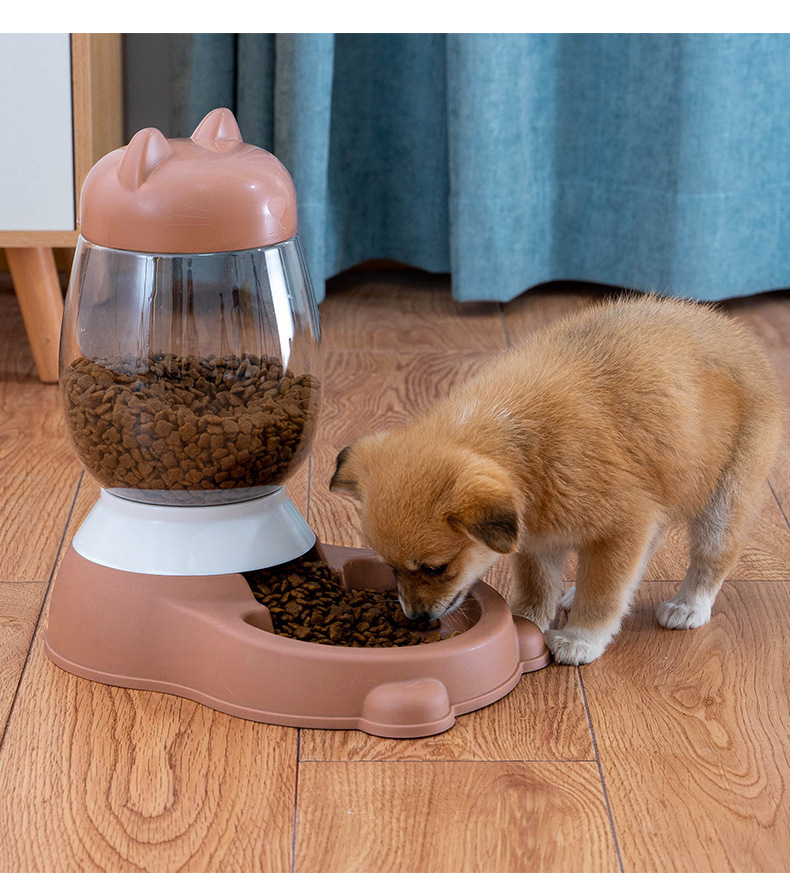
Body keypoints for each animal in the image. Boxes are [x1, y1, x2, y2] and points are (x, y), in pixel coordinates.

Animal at [330, 296, 784, 664]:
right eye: (390, 570)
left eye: (436, 568)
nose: (416, 620)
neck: (521, 444)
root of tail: (739, 336)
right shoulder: (541, 541)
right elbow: (539, 586)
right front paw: (524, 622)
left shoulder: (622, 526)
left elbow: (604, 593)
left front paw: (580, 639)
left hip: (722, 504)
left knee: (711, 559)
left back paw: (688, 606)